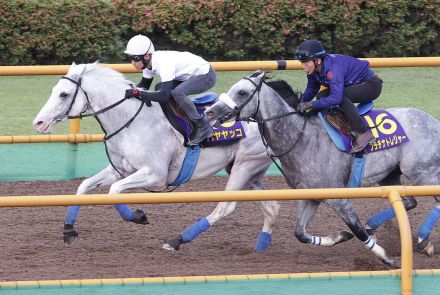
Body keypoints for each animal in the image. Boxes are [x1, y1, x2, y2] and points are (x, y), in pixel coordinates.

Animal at [31, 62, 278, 252]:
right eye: (54, 90)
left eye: (64, 94)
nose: (38, 123)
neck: (131, 120)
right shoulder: (120, 169)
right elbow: (83, 187)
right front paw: (68, 231)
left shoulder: (155, 175)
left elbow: (114, 191)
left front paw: (138, 216)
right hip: (248, 172)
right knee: (272, 208)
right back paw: (262, 246)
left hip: (244, 167)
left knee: (225, 207)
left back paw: (177, 240)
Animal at [206, 70, 440, 266]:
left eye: (242, 92)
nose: (209, 112)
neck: (301, 138)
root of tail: (433, 121)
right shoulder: (310, 196)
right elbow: (300, 233)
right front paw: (340, 236)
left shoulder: (339, 199)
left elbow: (358, 231)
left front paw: (387, 258)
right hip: (391, 174)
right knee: (409, 202)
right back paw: (386, 228)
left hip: (422, 173)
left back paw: (421, 239)